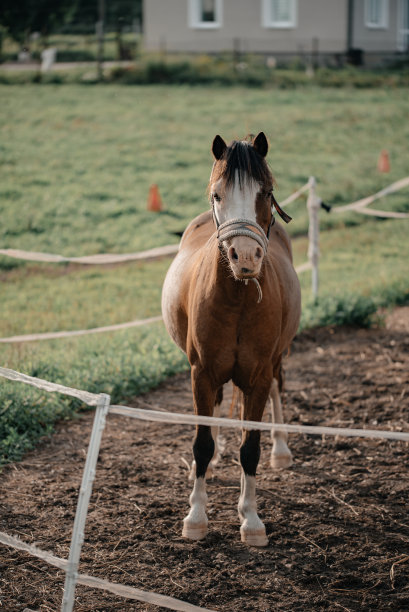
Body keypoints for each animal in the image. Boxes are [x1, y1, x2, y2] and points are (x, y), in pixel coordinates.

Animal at [162, 133, 300, 544]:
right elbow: (202, 443)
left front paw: (250, 519)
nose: (246, 257)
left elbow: (250, 448)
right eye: (217, 194)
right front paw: (196, 516)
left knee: (277, 390)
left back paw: (281, 450)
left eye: (266, 192)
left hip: (275, 361)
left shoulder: (258, 375)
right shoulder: (202, 373)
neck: (238, 297)